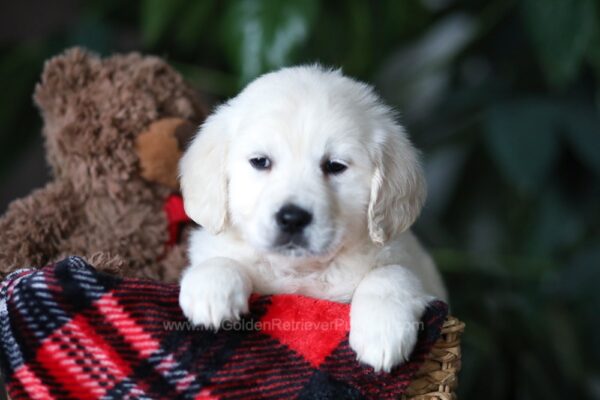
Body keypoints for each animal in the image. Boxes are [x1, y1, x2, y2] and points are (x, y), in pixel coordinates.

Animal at [178, 65, 446, 372]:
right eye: (260, 161)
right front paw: (211, 291)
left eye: (335, 166)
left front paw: (382, 331)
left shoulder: (408, 261)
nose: (292, 218)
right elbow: (220, 259)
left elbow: (391, 273)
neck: (303, 272)